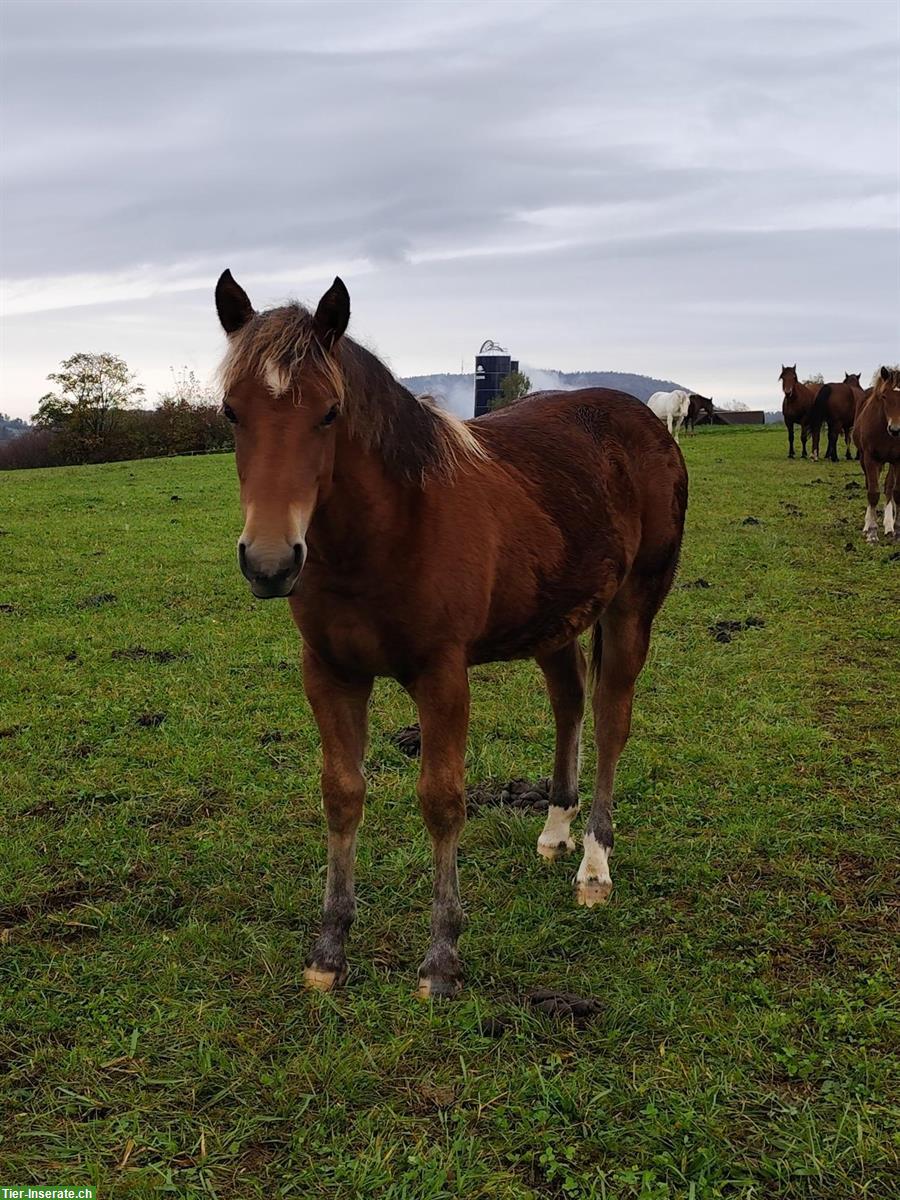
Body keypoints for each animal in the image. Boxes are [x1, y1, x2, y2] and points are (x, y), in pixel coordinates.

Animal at [214, 270, 686, 993]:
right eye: (231, 412)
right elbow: (342, 794)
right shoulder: (329, 672)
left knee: (611, 719)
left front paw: (442, 959)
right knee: (570, 703)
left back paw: (594, 866)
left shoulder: (442, 675)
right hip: (556, 621)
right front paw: (329, 951)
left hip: (632, 609)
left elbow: (441, 801)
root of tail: (647, 424)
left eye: (329, 412)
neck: (389, 531)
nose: (270, 562)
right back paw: (556, 829)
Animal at [854, 360, 900, 540]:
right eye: (884, 396)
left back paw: (889, 525)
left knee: (889, 488)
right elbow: (873, 493)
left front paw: (895, 527)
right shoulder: (870, 458)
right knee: (870, 485)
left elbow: (895, 491)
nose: (895, 429)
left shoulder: (897, 459)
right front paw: (872, 531)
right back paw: (868, 525)